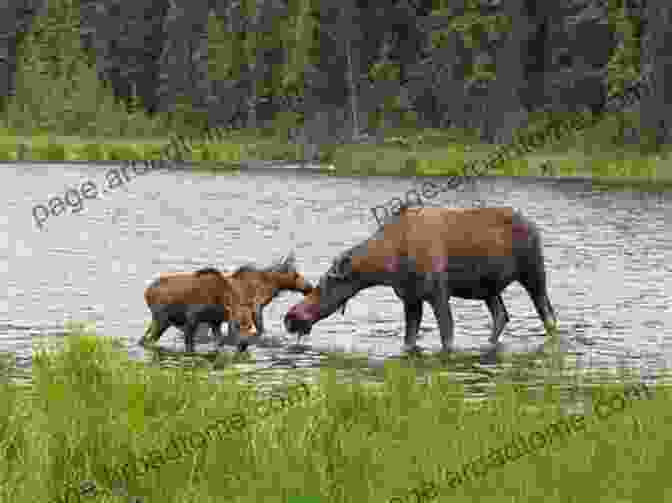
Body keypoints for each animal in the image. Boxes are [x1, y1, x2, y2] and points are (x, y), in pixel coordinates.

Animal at [284, 207, 556, 352]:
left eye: (323, 285)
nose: (290, 318)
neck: (387, 265)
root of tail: (535, 227)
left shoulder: (438, 293)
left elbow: (447, 336)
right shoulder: (411, 299)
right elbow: (409, 341)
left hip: (533, 273)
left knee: (548, 315)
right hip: (488, 288)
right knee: (501, 315)